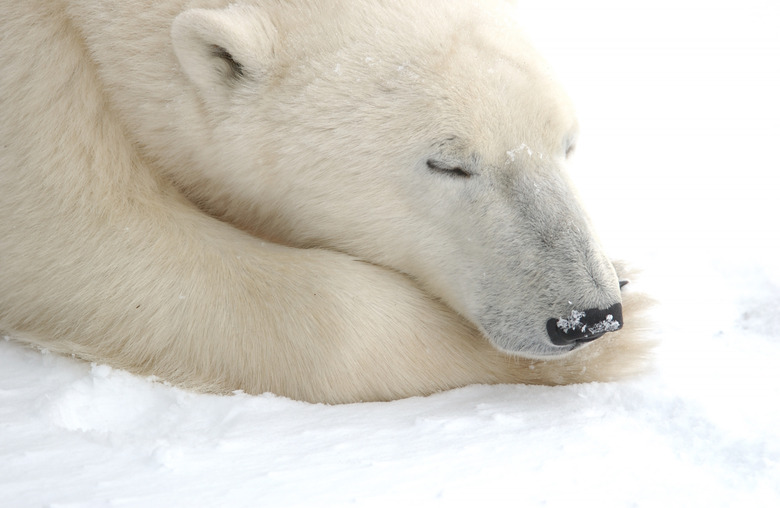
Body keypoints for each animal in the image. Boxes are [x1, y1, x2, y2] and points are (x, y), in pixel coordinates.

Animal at [0, 0, 652, 404]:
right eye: (450, 162)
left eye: (567, 144)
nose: (590, 318)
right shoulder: (33, 88)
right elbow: (85, 238)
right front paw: (622, 341)